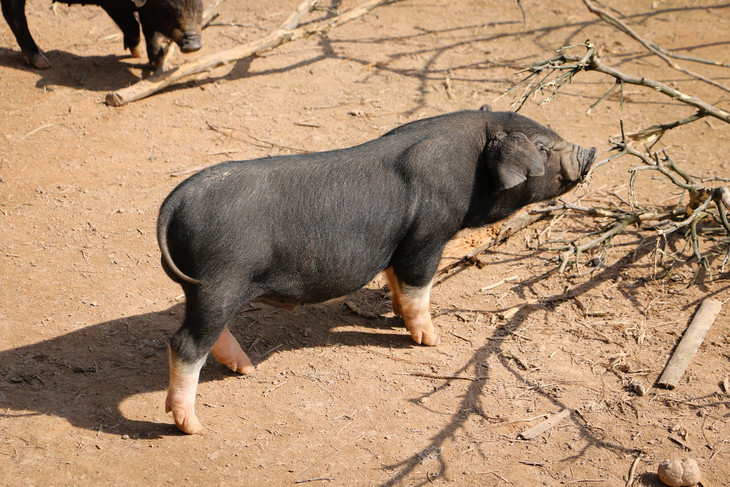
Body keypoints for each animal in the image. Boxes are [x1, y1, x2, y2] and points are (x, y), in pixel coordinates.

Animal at [1, 0, 200, 68]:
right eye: (165, 10)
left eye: (197, 3)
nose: (194, 45)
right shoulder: (112, 4)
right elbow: (131, 24)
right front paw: (136, 53)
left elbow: (150, 30)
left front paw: (158, 62)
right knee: (13, 11)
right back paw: (43, 63)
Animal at [156, 107, 596, 434]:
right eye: (542, 147)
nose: (589, 151)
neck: (470, 160)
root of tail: (175, 200)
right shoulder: (427, 235)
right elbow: (419, 285)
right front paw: (431, 341)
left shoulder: (396, 245)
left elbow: (396, 282)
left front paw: (399, 317)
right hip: (220, 281)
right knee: (184, 343)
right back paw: (193, 427)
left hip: (208, 288)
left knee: (209, 332)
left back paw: (246, 369)